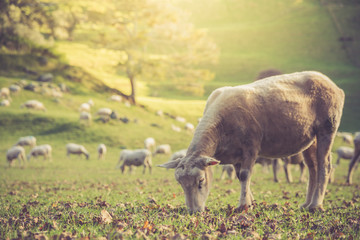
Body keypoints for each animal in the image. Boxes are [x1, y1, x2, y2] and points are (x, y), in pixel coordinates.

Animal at [159, 71, 344, 212]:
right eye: (180, 183)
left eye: (201, 181)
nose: (193, 212)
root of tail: (334, 86)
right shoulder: (234, 154)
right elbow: (239, 176)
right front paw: (251, 201)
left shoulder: (251, 146)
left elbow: (244, 175)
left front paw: (243, 206)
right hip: (310, 138)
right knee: (313, 167)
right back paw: (306, 204)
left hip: (327, 127)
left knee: (324, 165)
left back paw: (316, 205)